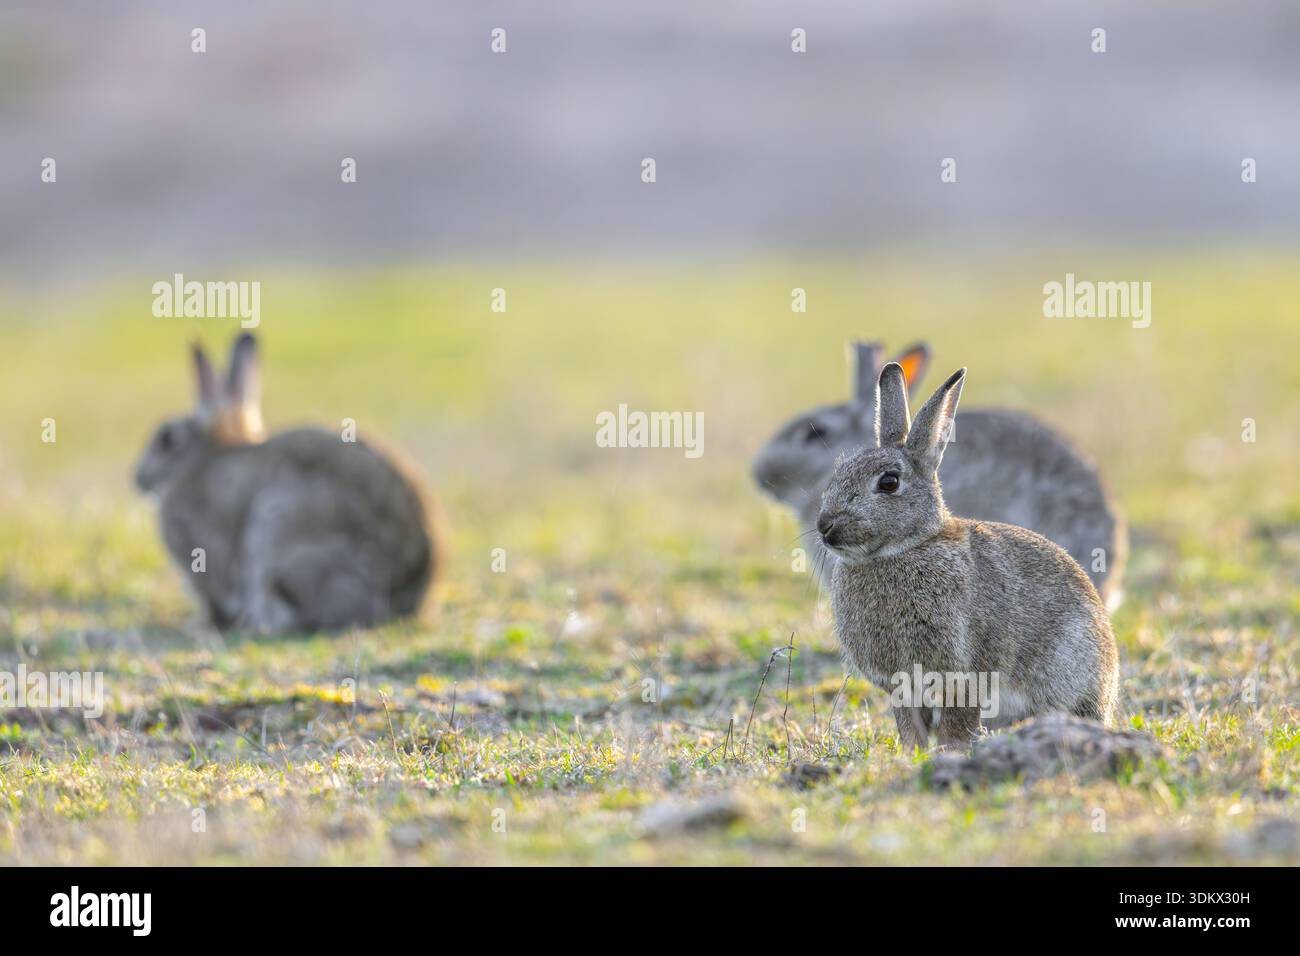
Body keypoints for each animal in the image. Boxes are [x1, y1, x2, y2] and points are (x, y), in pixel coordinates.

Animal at [819, 362, 1120, 751]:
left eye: (888, 483)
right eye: (838, 473)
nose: (825, 526)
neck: (904, 548)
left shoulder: (963, 673)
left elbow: (957, 724)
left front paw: (951, 754)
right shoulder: (903, 686)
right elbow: (910, 728)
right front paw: (913, 755)